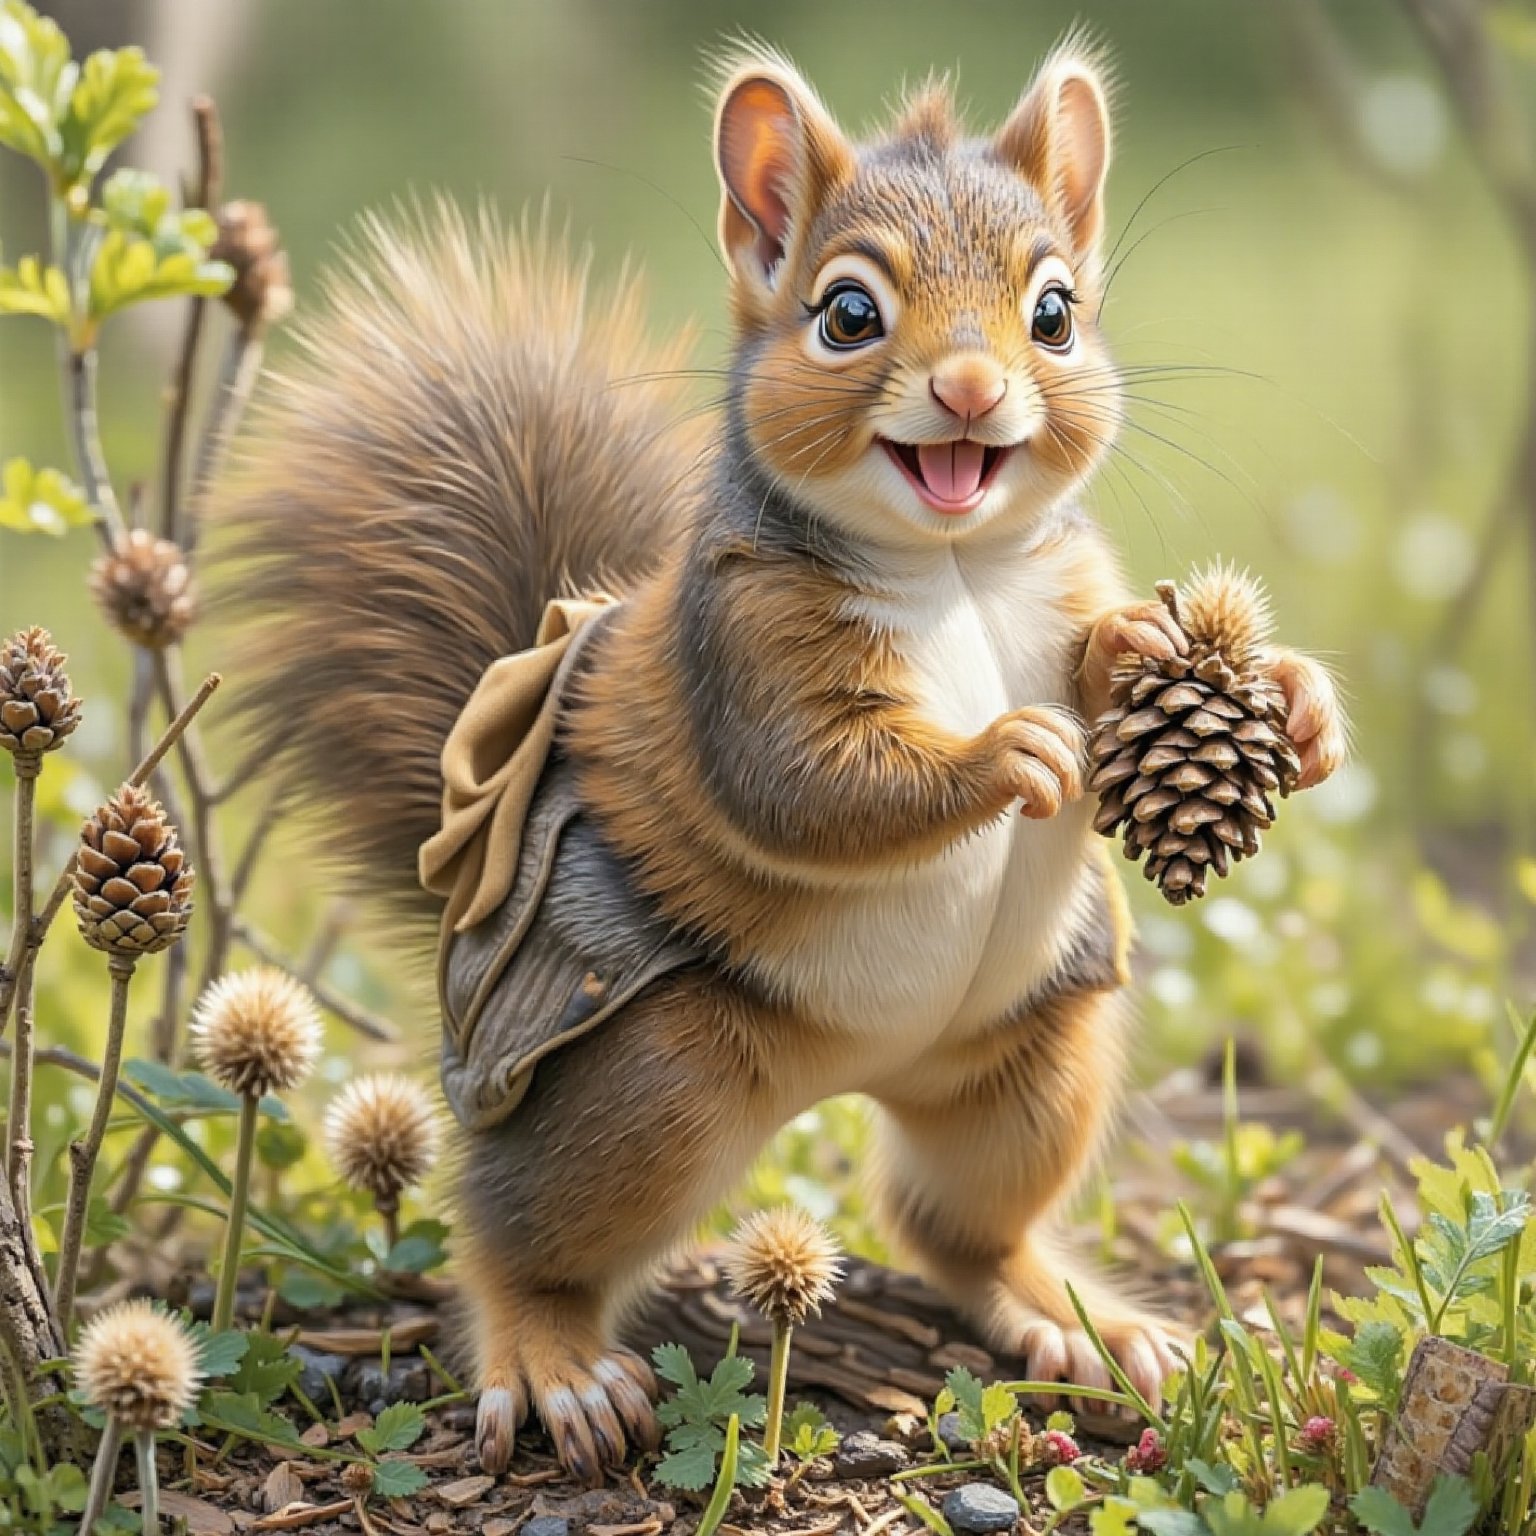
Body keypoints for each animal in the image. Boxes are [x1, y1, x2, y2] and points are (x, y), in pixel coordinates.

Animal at [210, 42, 1339, 1480]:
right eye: (846, 314)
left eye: (1056, 315)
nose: (972, 392)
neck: (955, 567)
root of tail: (852, 1075)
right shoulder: (738, 652)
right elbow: (815, 788)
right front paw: (1011, 748)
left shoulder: (1065, 590)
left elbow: (1104, 656)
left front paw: (1284, 694)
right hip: (656, 1080)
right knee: (515, 1233)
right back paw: (557, 1361)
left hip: (1034, 1062)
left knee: (953, 1223)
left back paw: (1072, 1317)